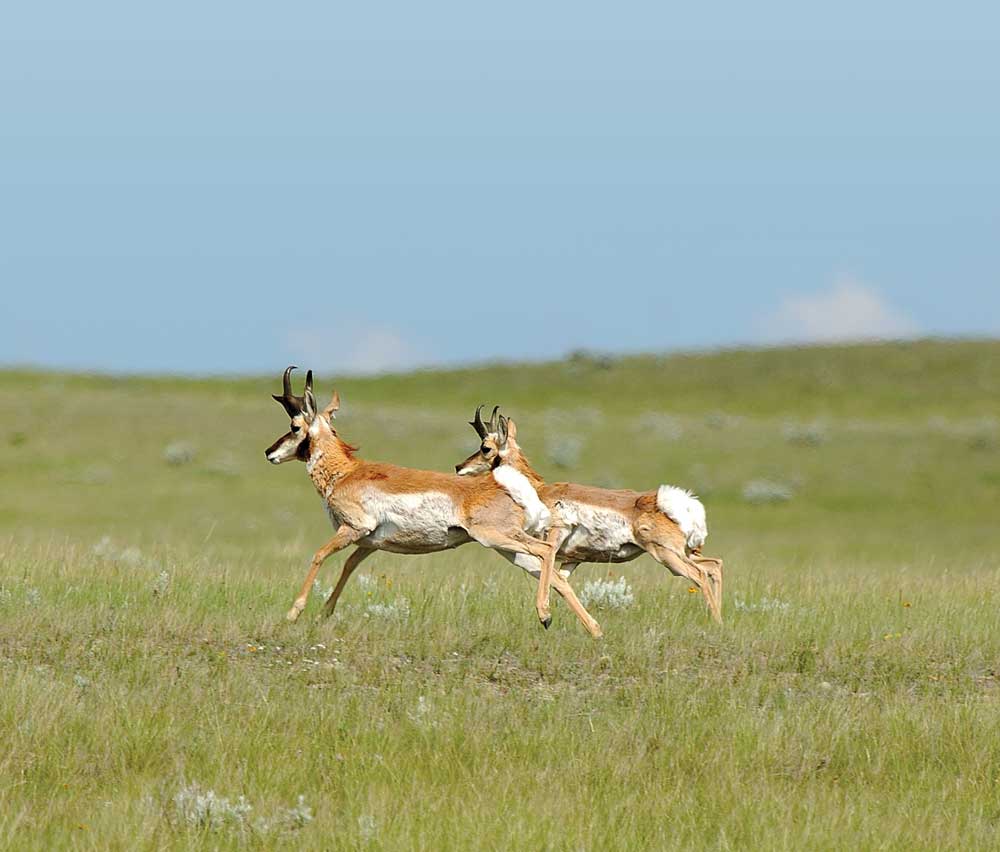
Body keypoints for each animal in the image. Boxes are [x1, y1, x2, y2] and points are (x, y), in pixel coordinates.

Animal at [262, 370, 600, 636]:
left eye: (294, 426)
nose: (269, 452)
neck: (346, 472)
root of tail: (503, 482)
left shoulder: (353, 529)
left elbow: (319, 555)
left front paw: (294, 612)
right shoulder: (368, 543)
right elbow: (348, 566)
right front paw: (324, 613)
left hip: (498, 538)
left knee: (546, 551)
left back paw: (545, 615)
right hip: (507, 547)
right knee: (555, 575)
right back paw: (593, 630)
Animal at [458, 406, 724, 620]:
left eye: (485, 448)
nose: (459, 466)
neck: (539, 490)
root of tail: (677, 503)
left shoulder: (554, 539)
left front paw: (545, 615)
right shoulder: (572, 559)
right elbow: (560, 582)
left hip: (667, 555)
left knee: (700, 574)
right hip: (684, 553)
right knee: (714, 565)